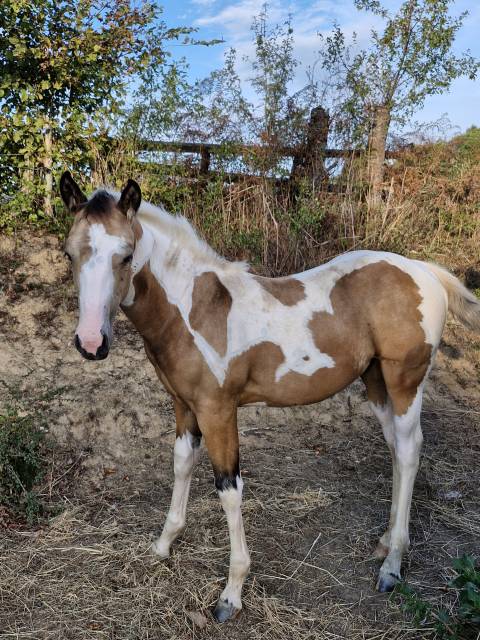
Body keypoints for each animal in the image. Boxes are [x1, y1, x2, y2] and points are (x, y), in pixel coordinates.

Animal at [60, 171, 480, 622]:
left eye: (125, 255)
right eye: (69, 254)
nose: (90, 342)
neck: (194, 310)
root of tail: (422, 270)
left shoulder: (218, 410)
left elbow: (228, 489)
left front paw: (231, 593)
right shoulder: (184, 406)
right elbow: (181, 465)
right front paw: (162, 545)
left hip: (405, 382)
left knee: (410, 448)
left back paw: (392, 566)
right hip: (376, 383)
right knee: (397, 451)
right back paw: (385, 544)